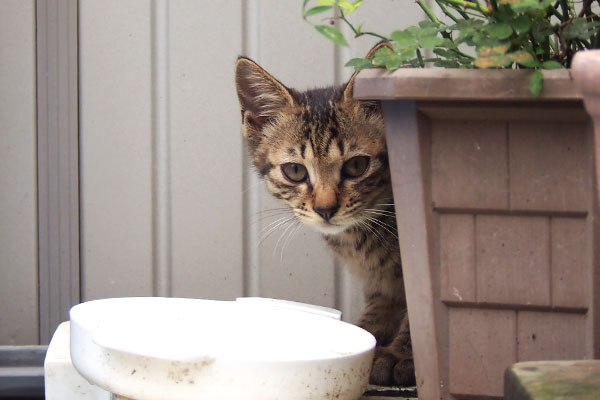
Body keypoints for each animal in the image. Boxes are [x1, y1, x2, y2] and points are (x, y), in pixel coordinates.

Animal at [233, 57, 412, 386]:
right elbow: (380, 309)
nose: (326, 208)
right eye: (294, 171)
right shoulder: (380, 283)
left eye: (357, 165)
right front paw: (366, 334)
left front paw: (401, 354)